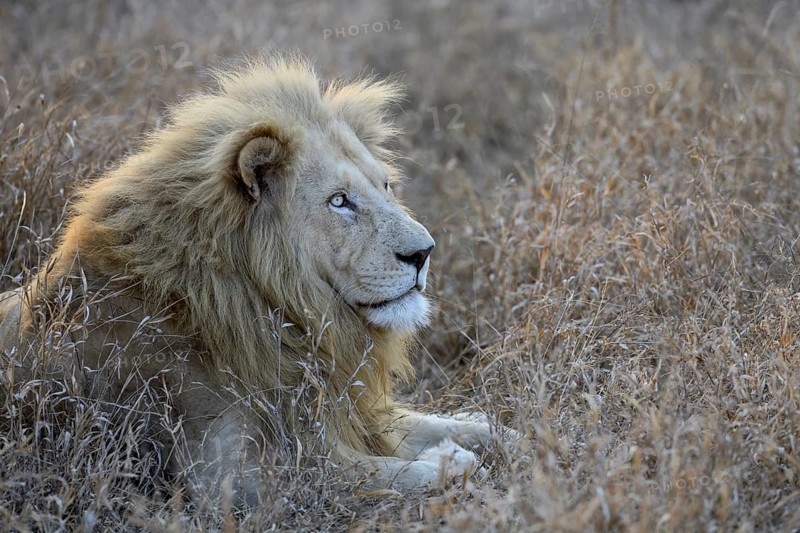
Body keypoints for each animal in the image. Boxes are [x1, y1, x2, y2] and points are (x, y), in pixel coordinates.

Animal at [0, 56, 515, 506]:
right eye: (340, 201)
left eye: (385, 185)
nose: (424, 253)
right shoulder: (228, 475)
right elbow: (370, 472)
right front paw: (453, 462)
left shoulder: (337, 412)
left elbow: (443, 424)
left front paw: (509, 434)